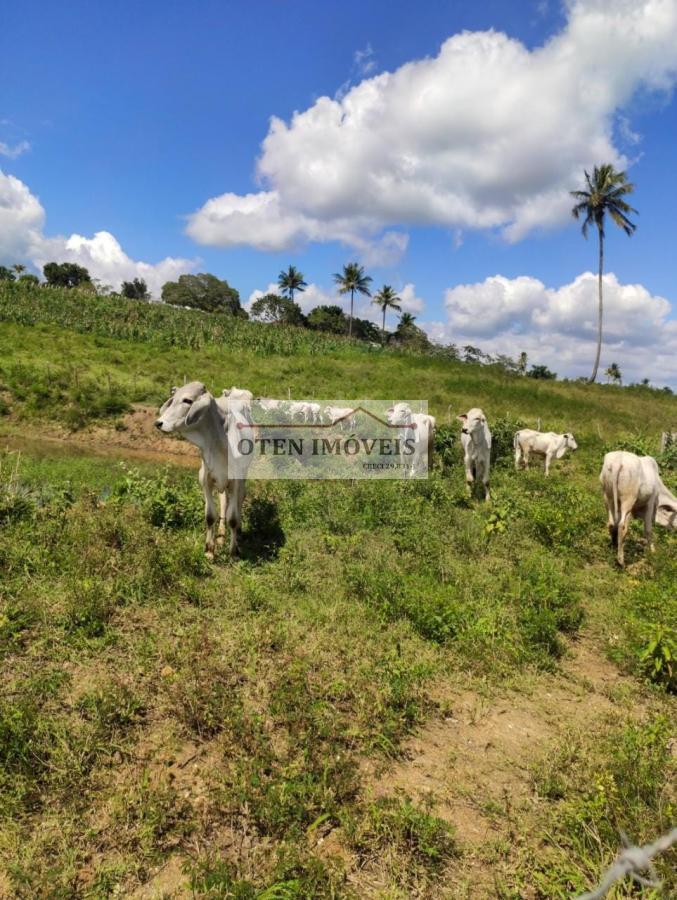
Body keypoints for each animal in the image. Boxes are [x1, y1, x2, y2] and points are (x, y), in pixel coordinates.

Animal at [156, 382, 254, 564]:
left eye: (187, 400)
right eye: (173, 398)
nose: (158, 423)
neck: (219, 441)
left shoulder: (236, 480)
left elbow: (233, 518)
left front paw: (233, 552)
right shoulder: (206, 479)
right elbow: (210, 516)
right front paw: (209, 550)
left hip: (243, 477)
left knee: (239, 501)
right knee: (224, 502)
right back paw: (221, 536)